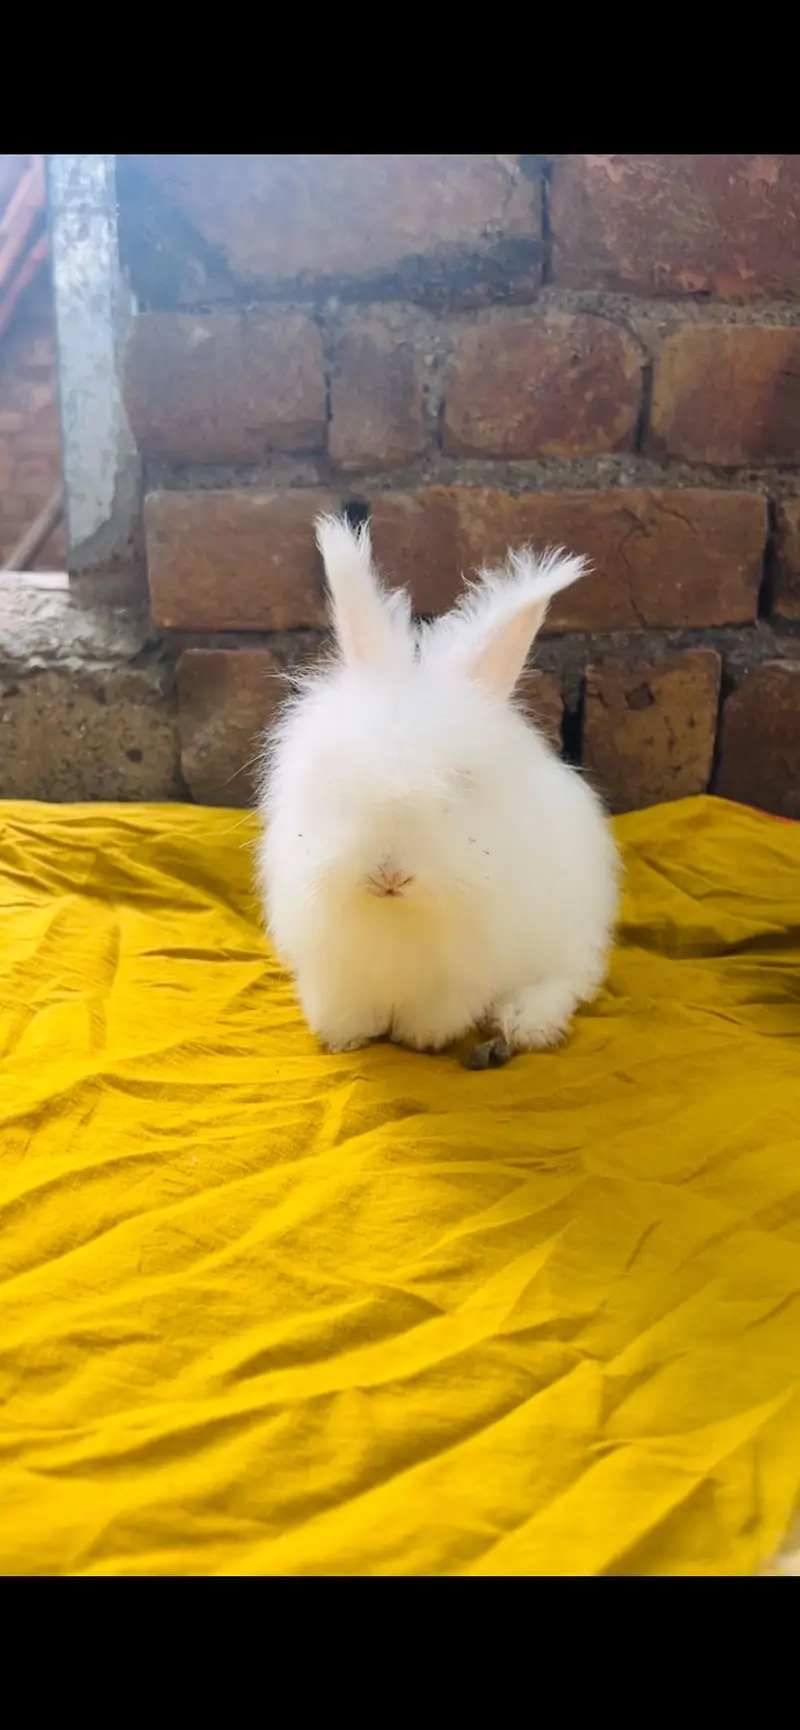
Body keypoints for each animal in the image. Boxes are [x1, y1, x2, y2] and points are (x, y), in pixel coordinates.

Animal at [257, 513, 620, 1063]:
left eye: (458, 787)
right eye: (342, 781)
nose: (388, 875)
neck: (396, 919)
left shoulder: (463, 973)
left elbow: (439, 1011)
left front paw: (420, 1038)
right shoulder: (334, 967)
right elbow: (346, 1007)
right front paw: (342, 1037)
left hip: (568, 936)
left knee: (566, 980)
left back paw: (526, 1025)